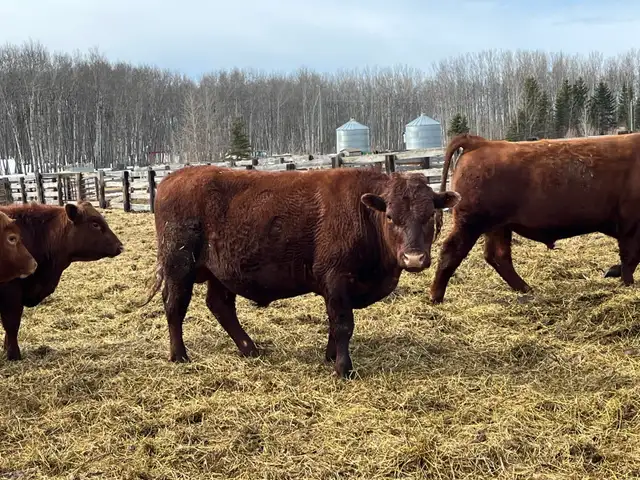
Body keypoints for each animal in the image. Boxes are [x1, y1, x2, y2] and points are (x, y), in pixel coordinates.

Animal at [141, 165, 461, 378]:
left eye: (429, 215)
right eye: (391, 216)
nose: (414, 258)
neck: (363, 213)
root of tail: (173, 177)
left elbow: (333, 324)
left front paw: (330, 356)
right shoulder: (336, 280)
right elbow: (343, 324)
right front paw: (343, 368)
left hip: (222, 273)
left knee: (220, 306)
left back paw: (250, 348)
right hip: (179, 267)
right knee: (175, 307)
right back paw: (179, 355)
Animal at [431, 133, 640, 304]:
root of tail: (478, 143)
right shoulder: (630, 227)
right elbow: (630, 258)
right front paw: (628, 283)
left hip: (498, 227)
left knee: (498, 256)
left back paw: (525, 288)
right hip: (470, 224)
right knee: (451, 251)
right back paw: (436, 296)